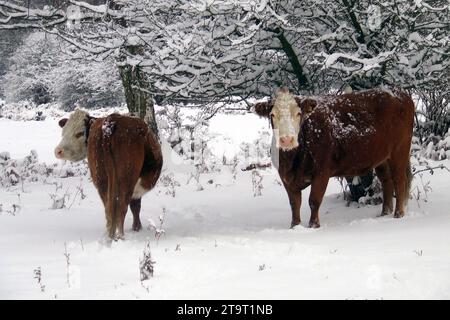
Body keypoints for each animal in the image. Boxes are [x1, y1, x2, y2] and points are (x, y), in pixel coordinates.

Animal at [55, 109, 163, 239]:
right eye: (63, 132)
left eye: (79, 133)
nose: (58, 151)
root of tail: (110, 123)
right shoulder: (136, 189)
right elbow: (135, 207)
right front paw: (137, 228)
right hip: (126, 180)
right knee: (121, 207)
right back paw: (120, 237)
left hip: (101, 179)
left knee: (109, 208)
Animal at [255, 87, 414, 228]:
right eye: (272, 115)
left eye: (299, 113)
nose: (287, 140)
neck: (292, 160)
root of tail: (399, 92)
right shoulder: (286, 177)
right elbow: (295, 204)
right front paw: (295, 226)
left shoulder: (321, 172)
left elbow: (314, 200)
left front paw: (313, 225)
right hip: (382, 157)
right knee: (387, 181)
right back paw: (384, 213)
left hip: (399, 150)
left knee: (400, 180)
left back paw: (398, 214)